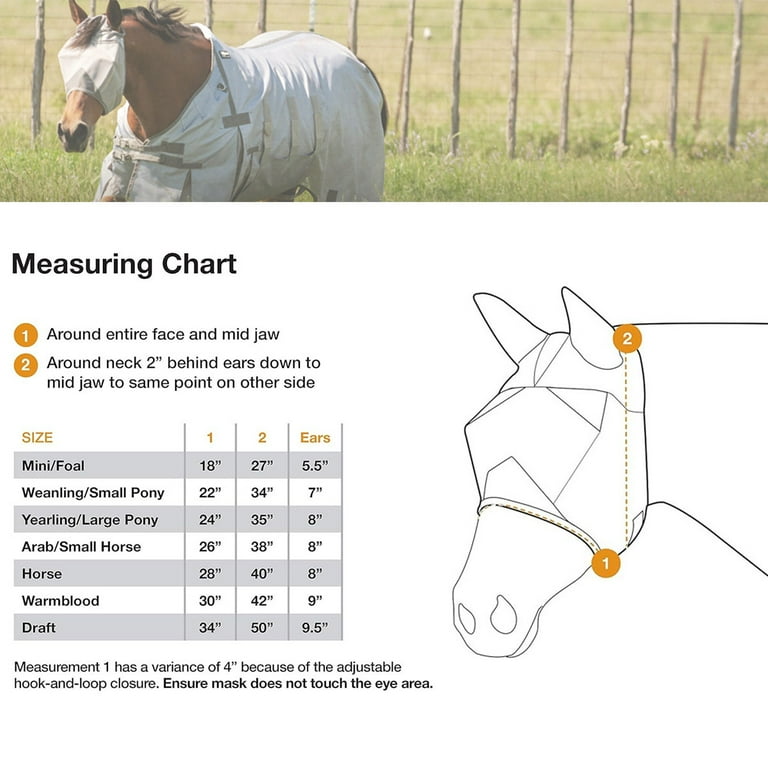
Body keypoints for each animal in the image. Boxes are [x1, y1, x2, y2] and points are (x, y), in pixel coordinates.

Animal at [57, 0, 388, 201]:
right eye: (66, 58)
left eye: (106, 63)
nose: (71, 133)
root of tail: (356, 63)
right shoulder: (119, 184)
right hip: (281, 185)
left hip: (345, 187)